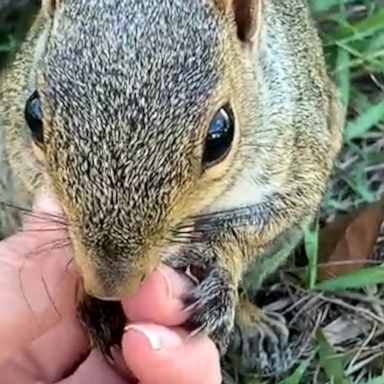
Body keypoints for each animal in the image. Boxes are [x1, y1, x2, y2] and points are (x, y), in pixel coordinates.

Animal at [0, 0, 342, 378]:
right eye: (33, 114)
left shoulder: (300, 150)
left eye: (220, 136)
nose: (111, 287)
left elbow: (270, 214)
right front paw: (92, 301)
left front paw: (219, 265)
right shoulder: (14, 141)